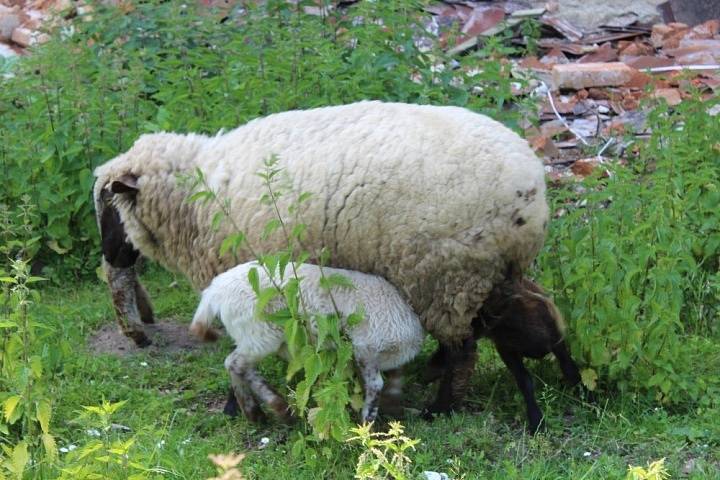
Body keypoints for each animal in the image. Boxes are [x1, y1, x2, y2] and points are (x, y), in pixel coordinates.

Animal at [188, 260, 424, 422]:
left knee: (235, 365)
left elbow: (394, 379)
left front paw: (395, 409)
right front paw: (367, 422)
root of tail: (215, 291)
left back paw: (255, 413)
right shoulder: (366, 347)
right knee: (235, 363)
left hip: (250, 335)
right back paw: (276, 407)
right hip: (259, 333)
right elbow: (376, 385)